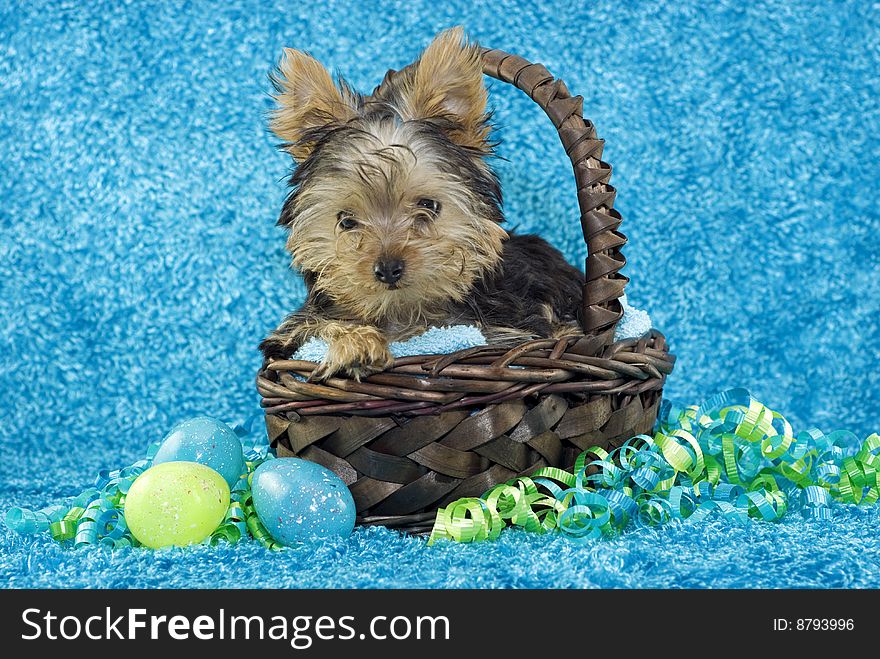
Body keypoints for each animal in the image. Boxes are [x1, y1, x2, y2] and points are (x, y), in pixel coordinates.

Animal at [260, 28, 584, 382]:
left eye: (428, 205)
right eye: (346, 221)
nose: (388, 268)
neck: (405, 313)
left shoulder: (509, 333)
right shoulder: (290, 332)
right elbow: (309, 328)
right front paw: (355, 343)